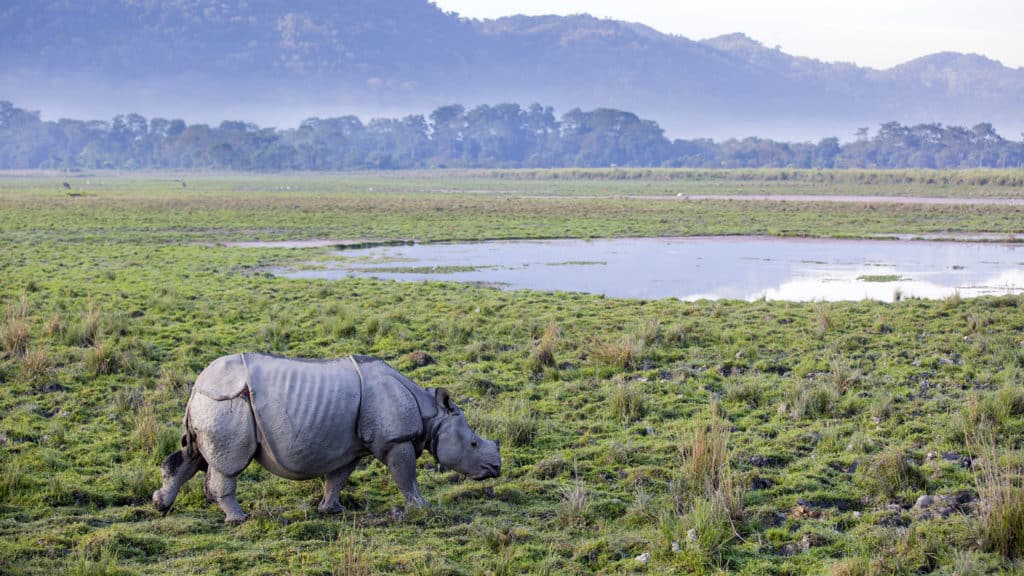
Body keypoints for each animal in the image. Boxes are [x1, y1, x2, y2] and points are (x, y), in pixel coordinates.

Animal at [153, 353, 501, 523]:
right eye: (473, 444)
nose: (496, 468)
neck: (431, 413)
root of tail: (197, 385)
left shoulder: (351, 448)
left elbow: (337, 478)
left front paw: (331, 510)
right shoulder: (396, 440)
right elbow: (406, 477)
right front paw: (422, 507)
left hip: (212, 404)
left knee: (193, 457)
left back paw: (160, 505)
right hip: (228, 403)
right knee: (228, 465)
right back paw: (239, 519)